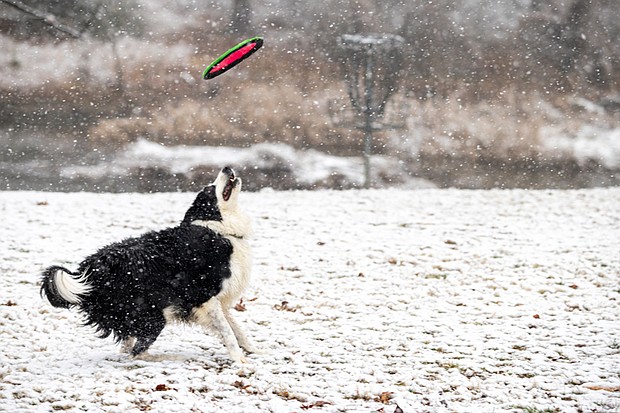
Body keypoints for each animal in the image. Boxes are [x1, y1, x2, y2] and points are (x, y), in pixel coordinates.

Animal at [40, 166, 260, 362]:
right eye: (209, 189)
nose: (227, 168)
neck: (216, 229)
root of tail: (90, 270)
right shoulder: (204, 297)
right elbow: (227, 331)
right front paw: (240, 360)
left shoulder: (218, 301)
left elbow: (236, 328)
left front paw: (253, 350)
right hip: (151, 314)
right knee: (137, 352)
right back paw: (171, 357)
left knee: (127, 346)